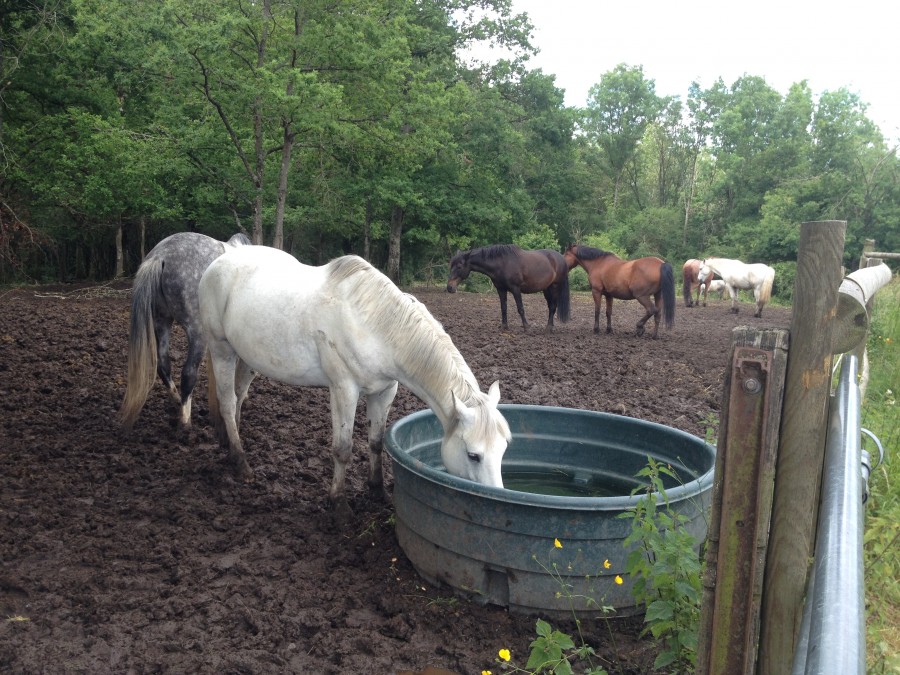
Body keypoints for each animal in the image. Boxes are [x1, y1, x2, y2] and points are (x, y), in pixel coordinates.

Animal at [200, 246, 510, 520]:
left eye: (504, 449)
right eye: (473, 455)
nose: (496, 499)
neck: (376, 324)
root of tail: (219, 261)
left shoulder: (384, 392)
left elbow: (375, 442)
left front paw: (377, 491)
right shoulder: (344, 390)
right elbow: (343, 448)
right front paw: (339, 505)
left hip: (246, 357)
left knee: (238, 397)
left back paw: (230, 442)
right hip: (221, 348)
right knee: (227, 402)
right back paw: (240, 462)